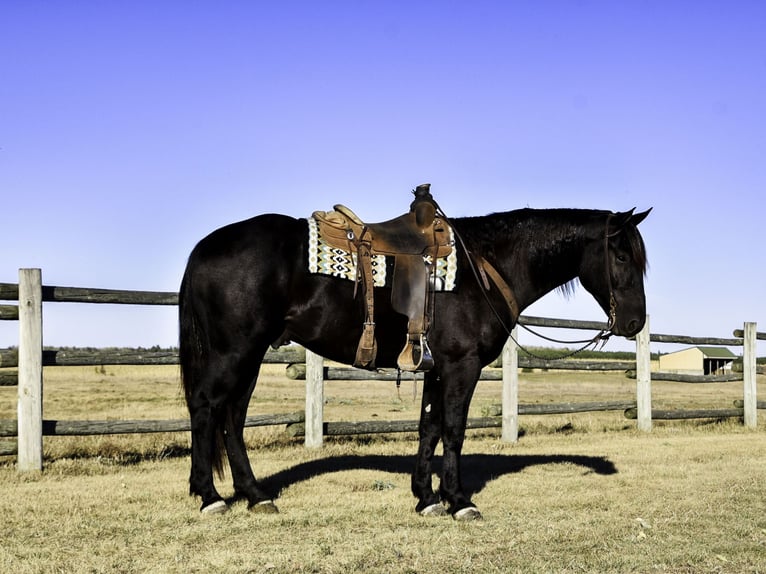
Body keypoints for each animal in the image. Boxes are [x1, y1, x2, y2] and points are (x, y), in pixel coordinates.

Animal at [178, 204, 648, 520]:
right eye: (622, 256)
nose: (635, 321)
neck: (486, 266)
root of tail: (204, 247)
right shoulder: (461, 366)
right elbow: (454, 431)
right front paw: (459, 502)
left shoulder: (436, 369)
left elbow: (429, 428)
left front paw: (426, 498)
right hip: (234, 351)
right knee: (205, 407)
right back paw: (210, 497)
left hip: (251, 355)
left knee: (232, 417)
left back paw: (256, 495)